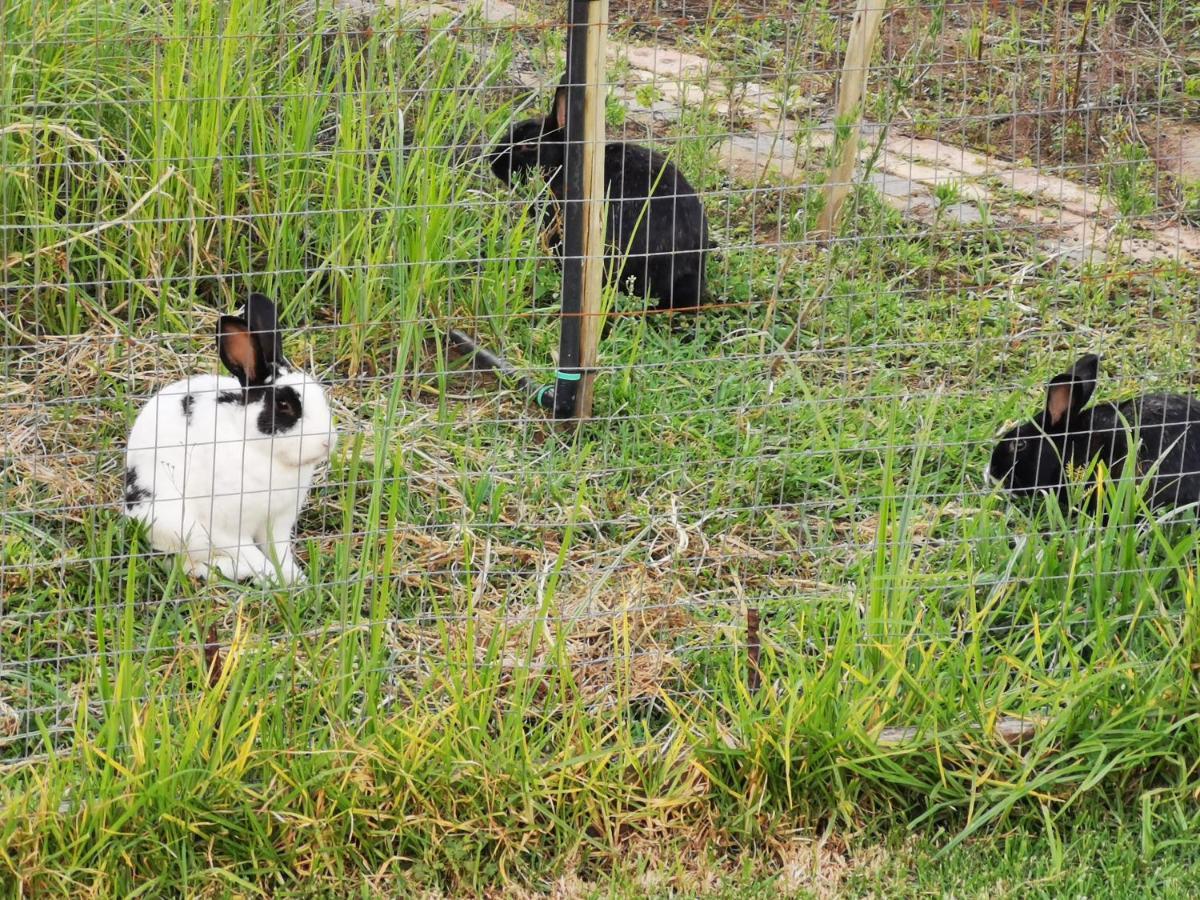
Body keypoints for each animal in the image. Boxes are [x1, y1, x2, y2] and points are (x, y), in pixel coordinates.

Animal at [125, 292, 338, 580]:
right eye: (283, 405)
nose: (329, 440)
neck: (263, 453)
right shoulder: (224, 529)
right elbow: (254, 556)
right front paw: (274, 580)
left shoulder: (277, 524)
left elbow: (280, 553)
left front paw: (296, 580)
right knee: (181, 562)